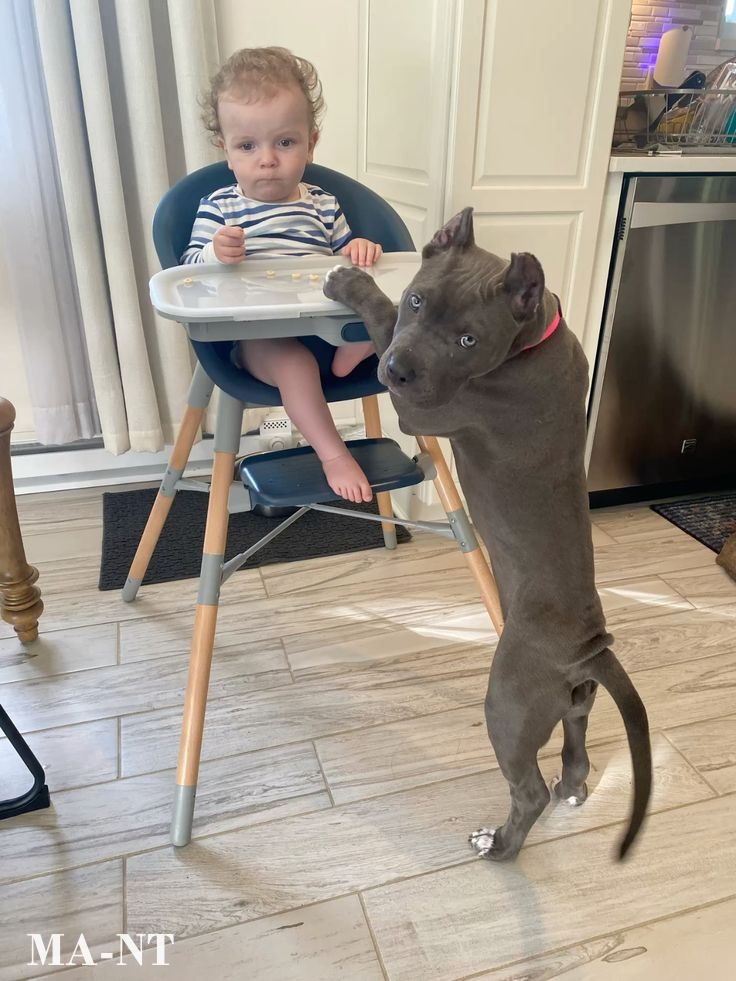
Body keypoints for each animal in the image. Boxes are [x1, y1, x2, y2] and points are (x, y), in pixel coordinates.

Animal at [324, 208, 652, 861]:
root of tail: (589, 650)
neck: (533, 339)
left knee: (528, 791)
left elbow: (378, 318)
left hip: (508, 707)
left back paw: (497, 845)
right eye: (418, 299)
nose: (397, 370)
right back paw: (574, 790)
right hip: (574, 704)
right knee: (575, 753)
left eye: (469, 341)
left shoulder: (423, 410)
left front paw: (351, 283)